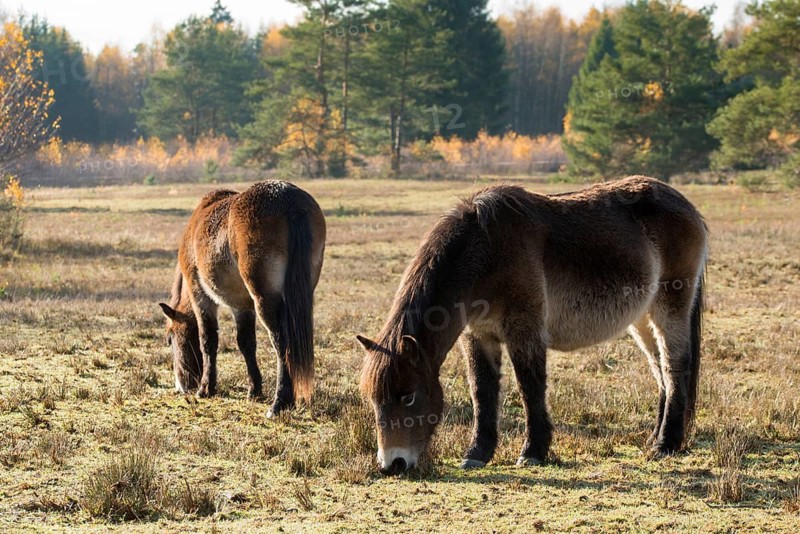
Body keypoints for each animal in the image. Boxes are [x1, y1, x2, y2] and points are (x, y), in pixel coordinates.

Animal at [159, 180, 326, 417]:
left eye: (170, 339)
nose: (182, 386)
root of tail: (288, 200)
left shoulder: (200, 296)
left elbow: (207, 339)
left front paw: (205, 388)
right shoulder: (241, 306)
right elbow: (246, 343)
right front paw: (254, 389)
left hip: (264, 299)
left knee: (281, 342)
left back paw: (279, 403)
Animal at [358, 176, 707, 475]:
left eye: (408, 396)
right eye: (374, 400)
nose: (392, 465)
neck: (486, 250)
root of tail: (686, 205)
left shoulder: (524, 330)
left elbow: (530, 387)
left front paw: (534, 451)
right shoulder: (479, 335)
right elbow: (482, 392)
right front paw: (478, 453)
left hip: (669, 309)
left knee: (675, 366)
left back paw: (666, 444)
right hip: (642, 319)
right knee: (660, 370)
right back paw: (655, 438)